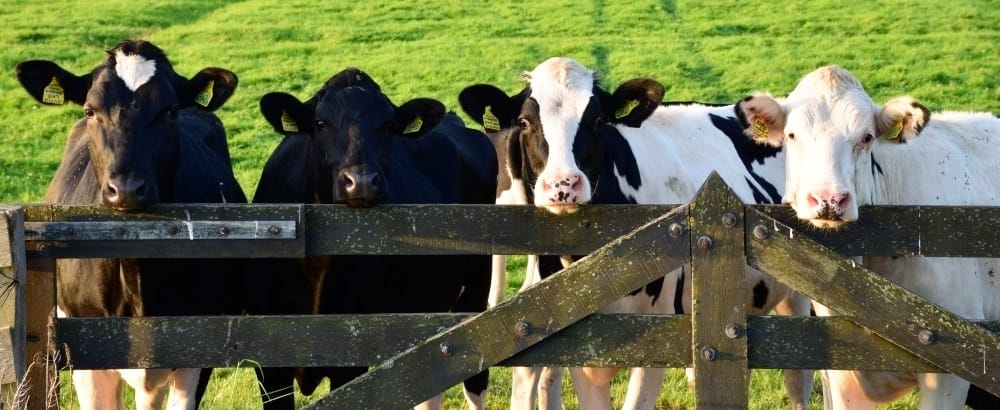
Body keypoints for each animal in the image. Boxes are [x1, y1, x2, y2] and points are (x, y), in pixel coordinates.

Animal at [254, 68, 496, 410]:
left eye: (389, 126)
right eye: (320, 123)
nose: (361, 182)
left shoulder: (352, 358)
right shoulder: (269, 365)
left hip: (476, 289)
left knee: (476, 379)